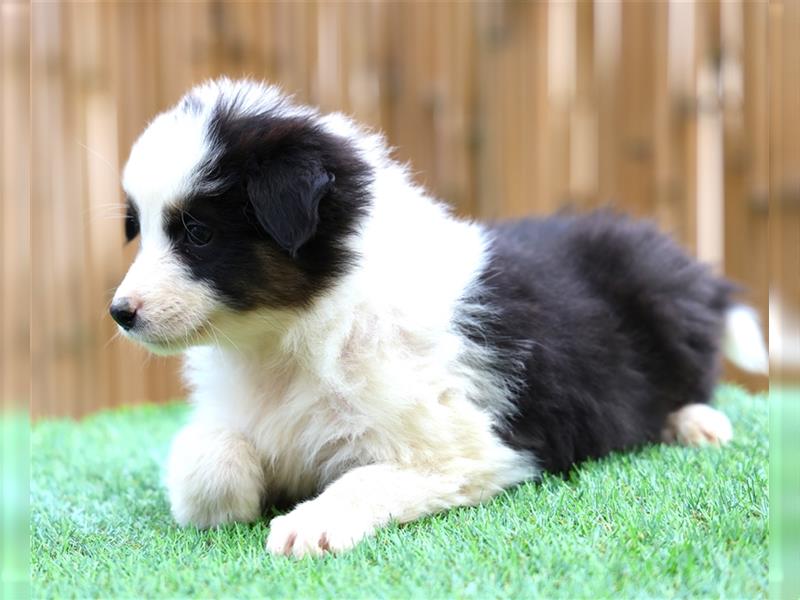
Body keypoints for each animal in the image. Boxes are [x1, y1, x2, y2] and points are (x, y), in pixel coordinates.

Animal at [112, 77, 768, 556]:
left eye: (197, 233)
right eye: (139, 228)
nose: (120, 313)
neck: (289, 338)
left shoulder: (465, 448)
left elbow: (367, 475)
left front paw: (310, 524)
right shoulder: (241, 411)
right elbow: (207, 457)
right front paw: (235, 500)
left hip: (665, 305)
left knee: (693, 376)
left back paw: (695, 423)